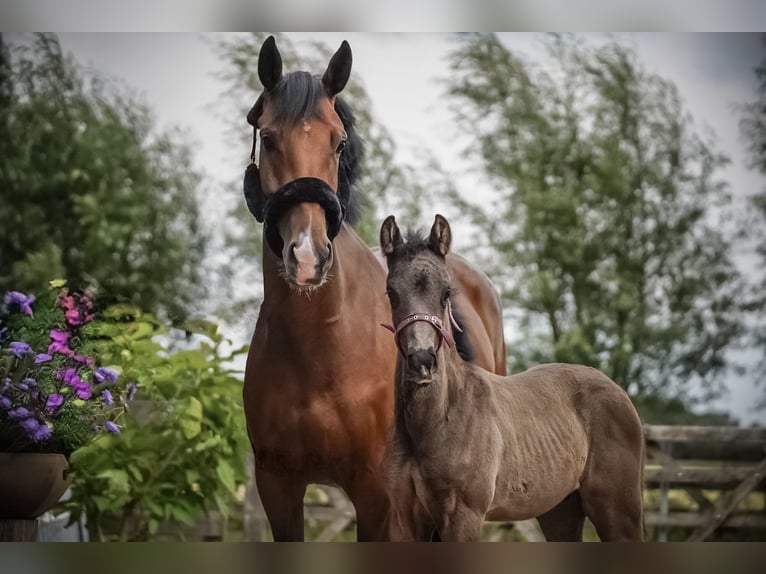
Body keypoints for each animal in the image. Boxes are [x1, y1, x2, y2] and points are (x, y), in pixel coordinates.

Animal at [243, 38, 508, 544]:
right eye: (267, 137)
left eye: (339, 142)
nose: (307, 256)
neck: (320, 345)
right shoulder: (277, 488)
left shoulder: (377, 498)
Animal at [380, 214, 644, 544]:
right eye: (392, 293)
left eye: (446, 293)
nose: (422, 361)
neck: (436, 419)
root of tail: (617, 390)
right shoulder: (403, 519)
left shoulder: (463, 515)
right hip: (560, 509)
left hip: (619, 510)